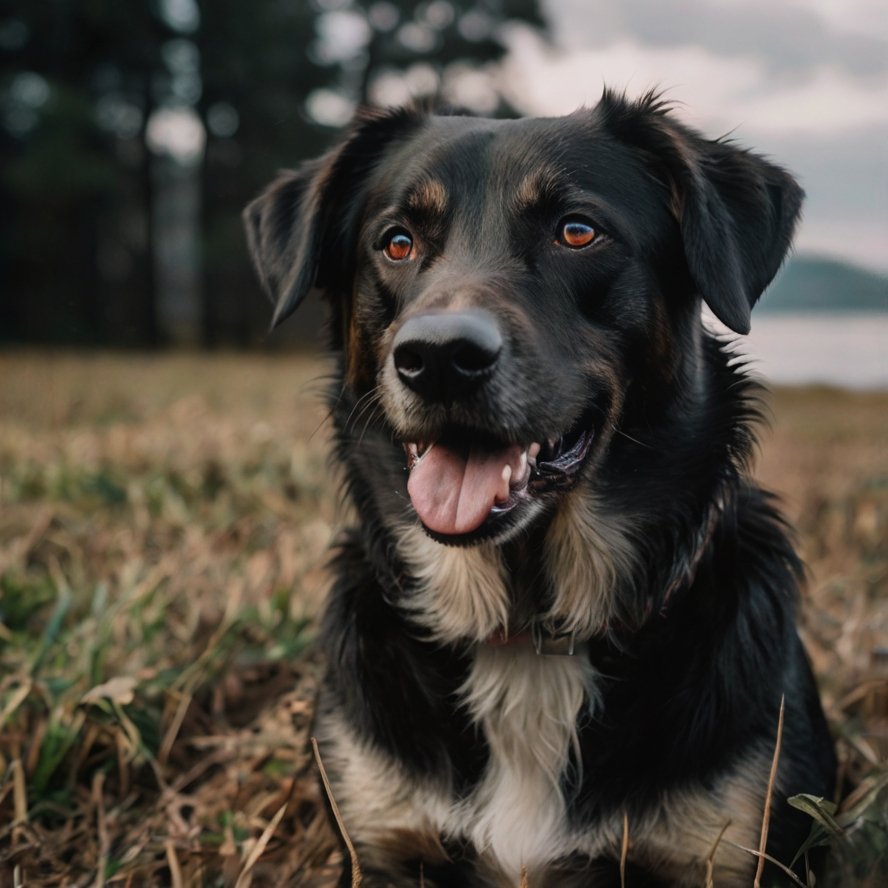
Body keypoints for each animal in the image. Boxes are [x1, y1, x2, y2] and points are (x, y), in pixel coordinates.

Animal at [245, 92, 840, 888]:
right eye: (396, 242)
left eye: (577, 232)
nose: (438, 358)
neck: (528, 636)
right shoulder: (380, 841)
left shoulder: (733, 849)